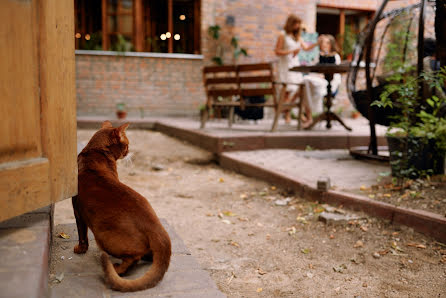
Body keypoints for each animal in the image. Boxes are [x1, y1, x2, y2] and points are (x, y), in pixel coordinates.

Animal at [72, 121, 172, 292]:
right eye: (127, 144)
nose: (129, 151)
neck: (93, 152)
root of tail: (155, 225)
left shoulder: (78, 213)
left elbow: (82, 236)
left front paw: (79, 250)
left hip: (102, 236)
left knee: (134, 258)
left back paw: (116, 269)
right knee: (147, 255)